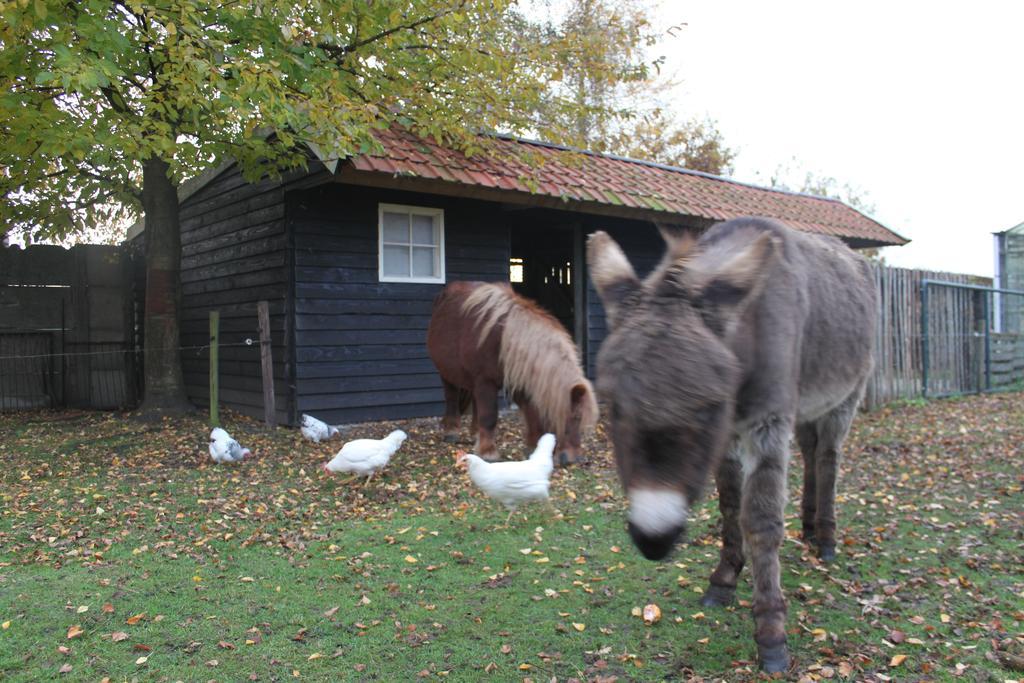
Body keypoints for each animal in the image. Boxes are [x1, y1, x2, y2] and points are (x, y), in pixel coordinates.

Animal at [425, 282, 598, 464]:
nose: (576, 459)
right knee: (451, 398)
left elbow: (531, 412)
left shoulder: (519, 379)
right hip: (447, 374)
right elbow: (489, 416)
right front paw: (488, 452)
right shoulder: (486, 382)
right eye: (574, 417)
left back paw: (475, 434)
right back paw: (451, 431)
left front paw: (533, 446)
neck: (503, 338)